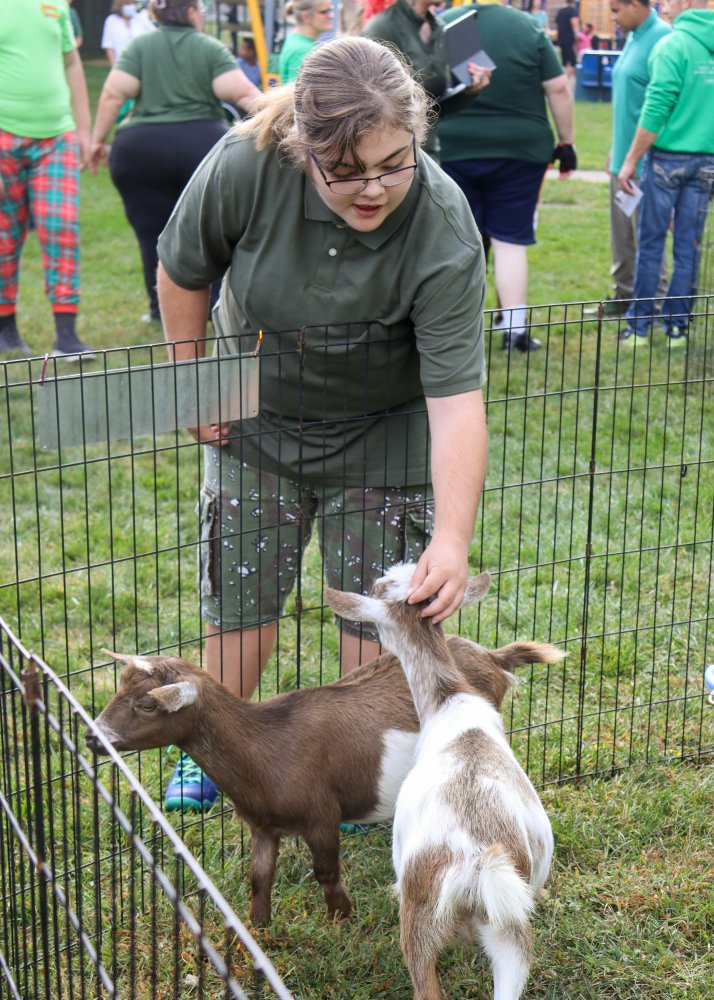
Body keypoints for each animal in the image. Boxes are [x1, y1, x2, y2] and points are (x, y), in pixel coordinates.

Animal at [86, 631, 563, 928]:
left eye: (148, 705)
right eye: (118, 689)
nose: (93, 736)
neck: (265, 742)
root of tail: (492, 659)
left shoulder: (320, 815)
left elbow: (326, 872)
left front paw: (342, 921)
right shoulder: (263, 823)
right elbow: (259, 876)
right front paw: (257, 931)